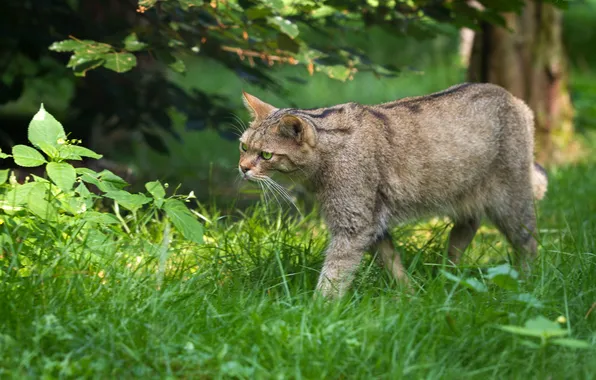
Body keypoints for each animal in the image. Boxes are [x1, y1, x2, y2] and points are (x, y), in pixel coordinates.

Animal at [237, 82, 548, 296]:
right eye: (243, 147)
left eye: (265, 155)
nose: (242, 168)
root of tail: (515, 99)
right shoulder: (373, 222)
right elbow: (391, 261)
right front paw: (409, 295)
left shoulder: (353, 224)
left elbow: (334, 275)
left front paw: (317, 313)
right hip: (465, 197)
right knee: (465, 231)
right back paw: (447, 278)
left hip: (512, 201)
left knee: (529, 243)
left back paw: (528, 283)